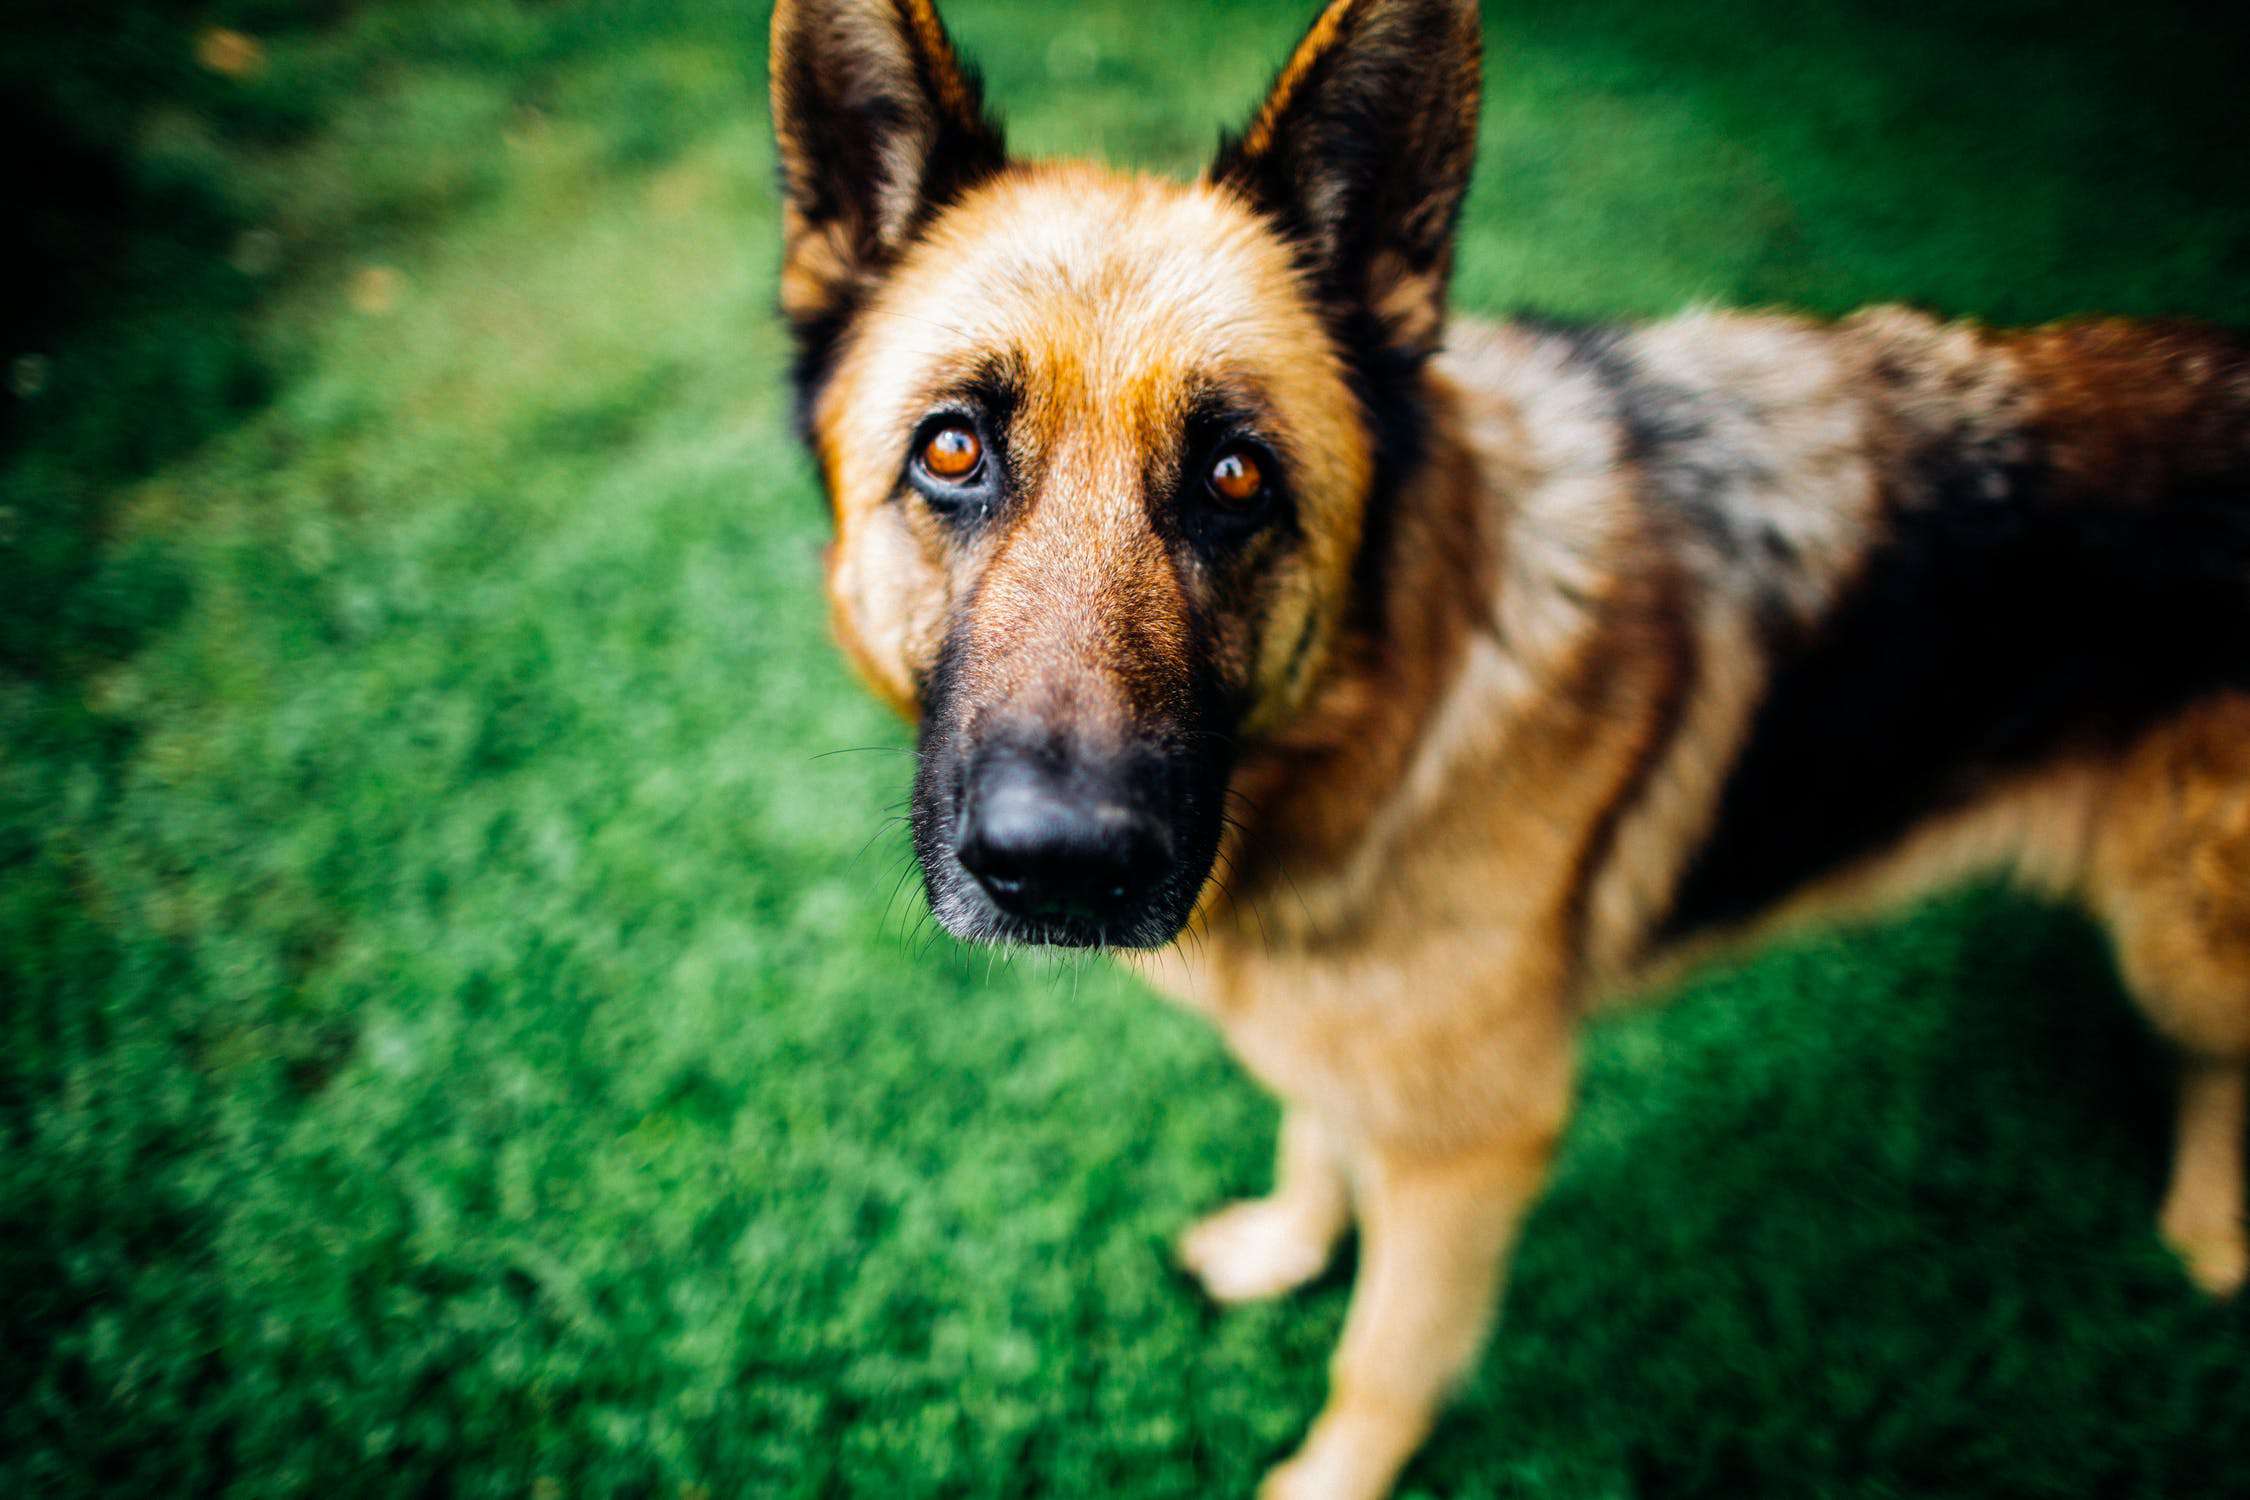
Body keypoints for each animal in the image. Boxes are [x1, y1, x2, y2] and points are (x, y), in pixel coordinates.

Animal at [774, 0, 2250, 1493]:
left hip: (2183, 939)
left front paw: (1326, 1475)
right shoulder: (1356, 1048)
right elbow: (1316, 1133)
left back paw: (2209, 1222)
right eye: (950, 451)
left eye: (1237, 477)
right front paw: (1287, 1245)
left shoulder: (1473, 1155)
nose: (1065, 869)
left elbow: (1378, 1363)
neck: (1386, 717)